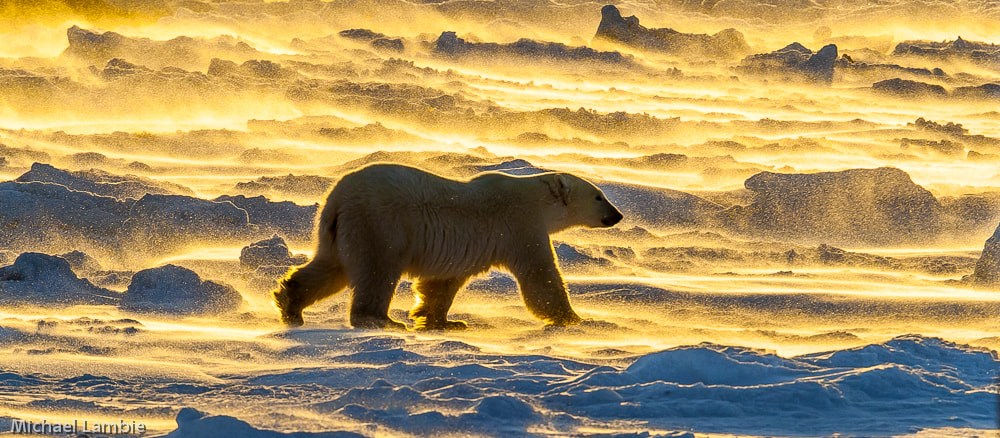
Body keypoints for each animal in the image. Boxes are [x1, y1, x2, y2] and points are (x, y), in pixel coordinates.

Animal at [270, 163, 620, 328]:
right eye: (599, 196)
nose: (617, 215)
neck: (537, 199)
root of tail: (337, 198)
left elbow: (442, 283)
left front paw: (443, 321)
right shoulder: (519, 225)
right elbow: (540, 277)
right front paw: (575, 319)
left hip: (337, 231)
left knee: (330, 268)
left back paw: (290, 304)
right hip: (380, 224)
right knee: (377, 271)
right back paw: (383, 320)